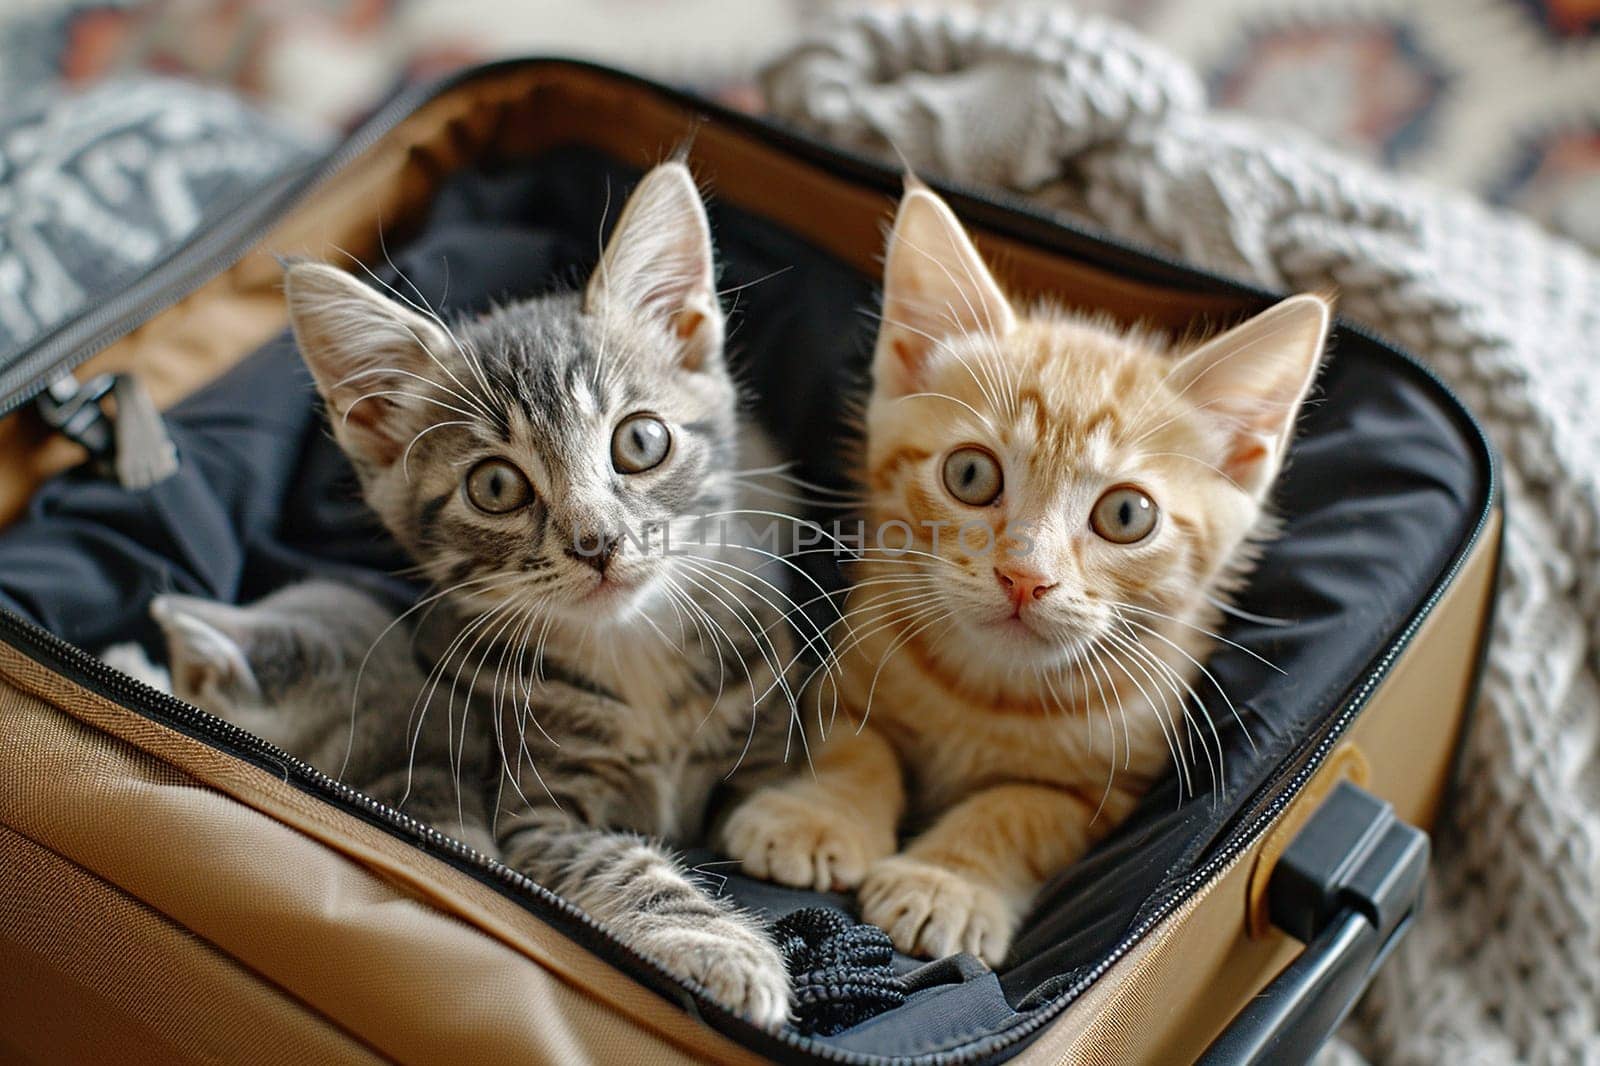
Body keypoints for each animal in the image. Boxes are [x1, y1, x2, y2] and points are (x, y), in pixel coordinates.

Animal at [720, 182, 1331, 960]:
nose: (1024, 577)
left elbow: (1016, 809)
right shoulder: (843, 677)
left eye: (1127, 514)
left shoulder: (1106, 792)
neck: (989, 694)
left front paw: (946, 883)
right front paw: (816, 819)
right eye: (970, 474)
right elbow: (860, 749)